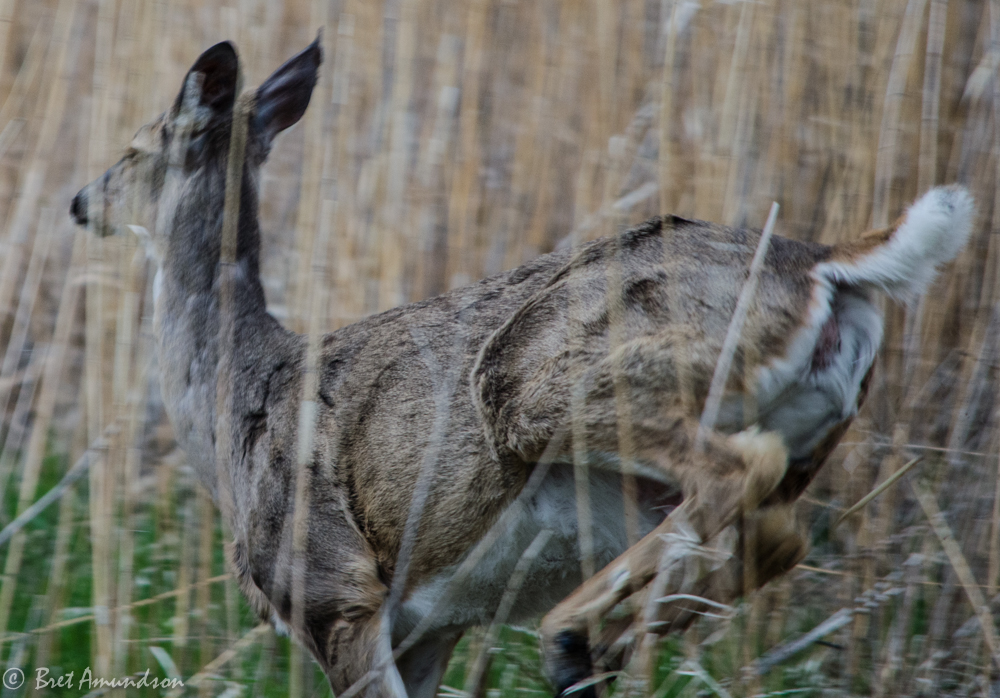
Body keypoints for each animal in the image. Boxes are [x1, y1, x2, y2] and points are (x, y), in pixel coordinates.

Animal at [70, 36, 974, 698]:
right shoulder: (426, 627)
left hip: (549, 385)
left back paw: (568, 637)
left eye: (134, 147)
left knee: (734, 469)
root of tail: (823, 263)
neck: (239, 401)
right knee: (775, 529)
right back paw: (604, 643)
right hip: (800, 437)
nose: (80, 201)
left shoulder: (334, 592)